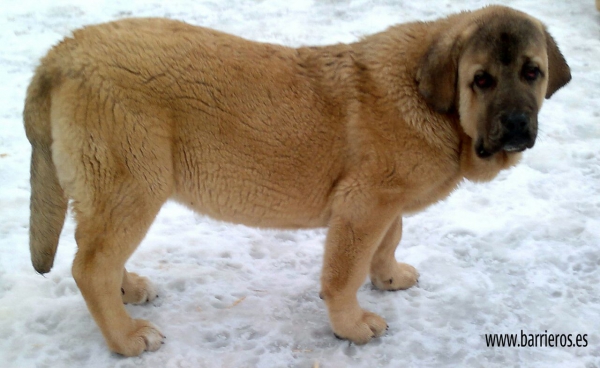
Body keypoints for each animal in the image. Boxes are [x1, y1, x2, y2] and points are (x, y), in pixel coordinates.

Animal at [22, 5, 568, 356]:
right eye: (481, 80)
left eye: (532, 72)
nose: (517, 124)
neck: (436, 104)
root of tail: (61, 54)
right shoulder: (363, 204)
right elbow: (345, 274)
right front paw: (352, 326)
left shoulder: (385, 201)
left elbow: (390, 239)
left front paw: (388, 277)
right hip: (133, 181)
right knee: (89, 265)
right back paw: (126, 337)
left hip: (115, 188)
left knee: (94, 248)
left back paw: (128, 288)